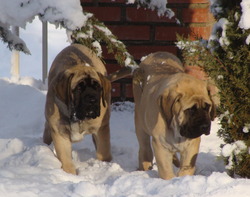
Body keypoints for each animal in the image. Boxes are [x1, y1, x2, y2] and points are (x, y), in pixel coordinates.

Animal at [43, 43, 112, 175]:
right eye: (79, 88)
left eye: (97, 87)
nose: (92, 100)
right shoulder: (60, 133)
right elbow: (66, 160)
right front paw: (70, 175)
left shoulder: (102, 128)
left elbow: (104, 152)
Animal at [133, 51, 217, 180]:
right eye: (190, 110)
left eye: (207, 107)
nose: (204, 126)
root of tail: (158, 53)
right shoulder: (160, 145)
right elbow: (166, 171)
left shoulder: (192, 145)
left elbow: (187, 168)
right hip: (141, 125)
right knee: (145, 148)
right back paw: (145, 165)